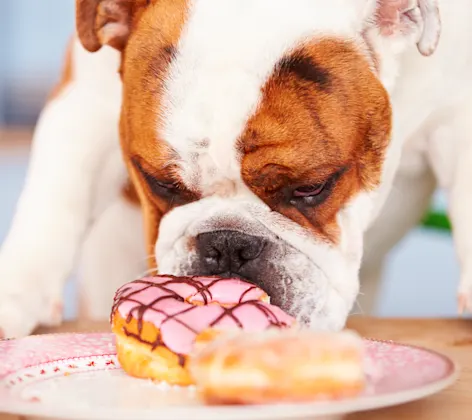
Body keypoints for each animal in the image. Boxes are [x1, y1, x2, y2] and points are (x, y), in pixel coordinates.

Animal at [0, 0, 472, 338]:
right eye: (160, 184)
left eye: (312, 188)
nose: (227, 243)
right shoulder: (84, 99)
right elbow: (57, 195)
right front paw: (17, 288)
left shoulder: (457, 115)